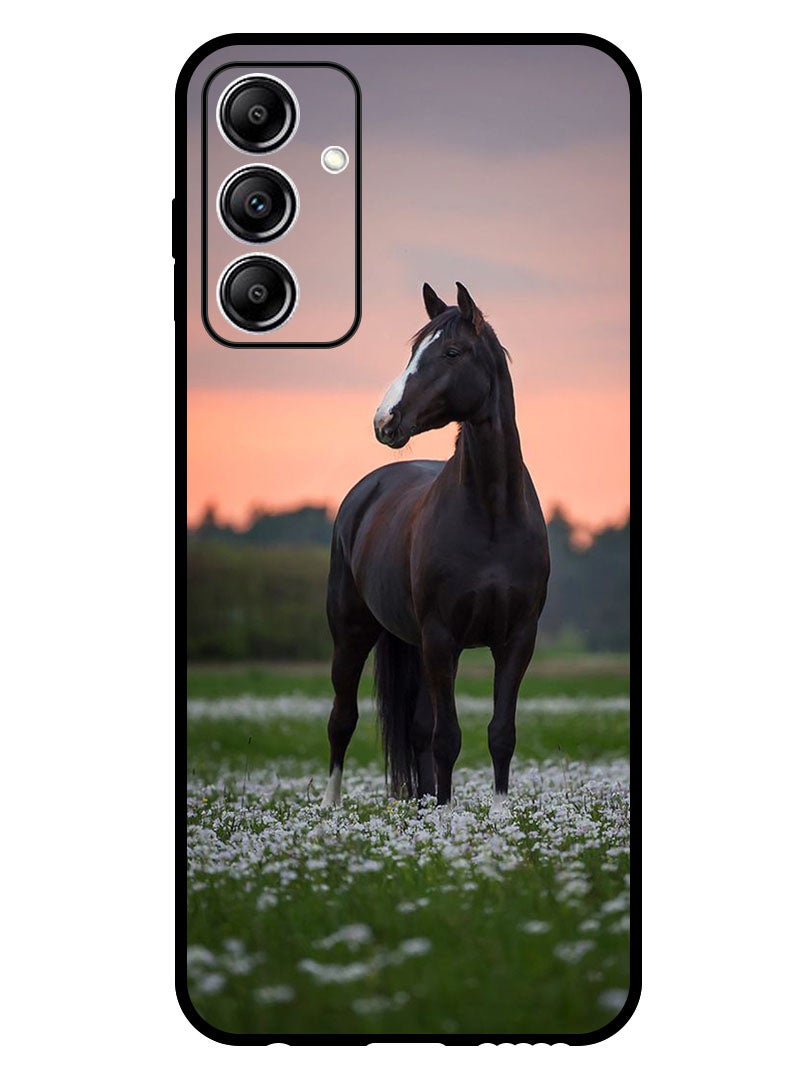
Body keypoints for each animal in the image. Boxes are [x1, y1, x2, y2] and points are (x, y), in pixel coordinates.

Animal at [321, 282, 550, 810]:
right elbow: (448, 737)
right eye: (413, 352)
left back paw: (423, 803)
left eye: (451, 352)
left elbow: (500, 733)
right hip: (353, 633)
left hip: (414, 643)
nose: (385, 420)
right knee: (342, 719)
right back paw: (331, 807)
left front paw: (499, 814)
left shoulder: (517, 639)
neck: (491, 515)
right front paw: (447, 815)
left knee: (417, 727)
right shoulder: (443, 638)